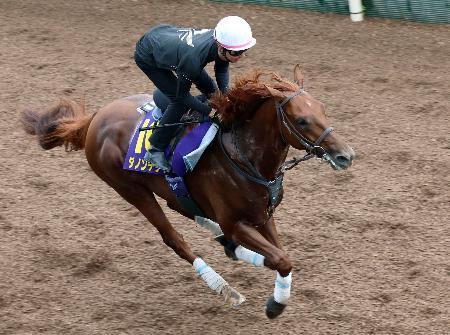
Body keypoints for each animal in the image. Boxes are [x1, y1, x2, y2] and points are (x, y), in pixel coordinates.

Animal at [22, 66, 356, 320]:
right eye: (301, 120)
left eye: (323, 110)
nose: (345, 156)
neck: (243, 156)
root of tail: (94, 119)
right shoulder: (238, 221)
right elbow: (280, 258)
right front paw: (275, 305)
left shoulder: (263, 215)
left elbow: (282, 256)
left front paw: (273, 292)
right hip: (130, 190)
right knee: (175, 240)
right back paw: (225, 288)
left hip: (170, 190)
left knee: (186, 209)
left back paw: (226, 246)